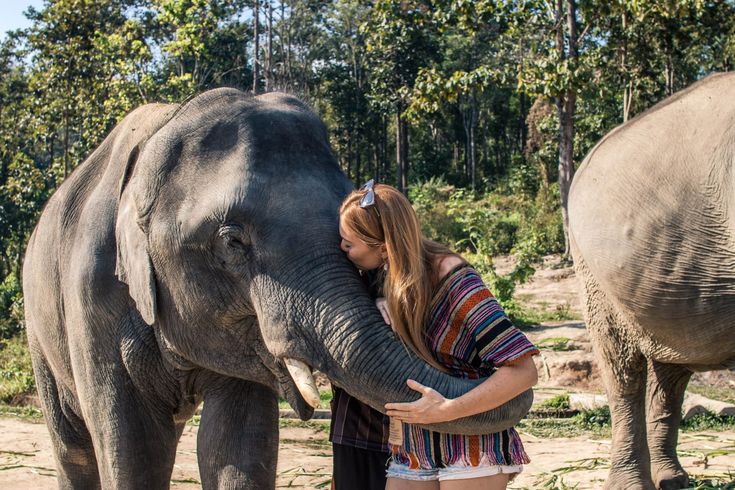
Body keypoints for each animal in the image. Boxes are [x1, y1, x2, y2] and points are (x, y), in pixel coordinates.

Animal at [22, 88, 533, 489]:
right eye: (232, 240)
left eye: (344, 238)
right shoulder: (93, 295)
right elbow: (133, 446)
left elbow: (235, 443)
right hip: (38, 328)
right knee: (73, 445)